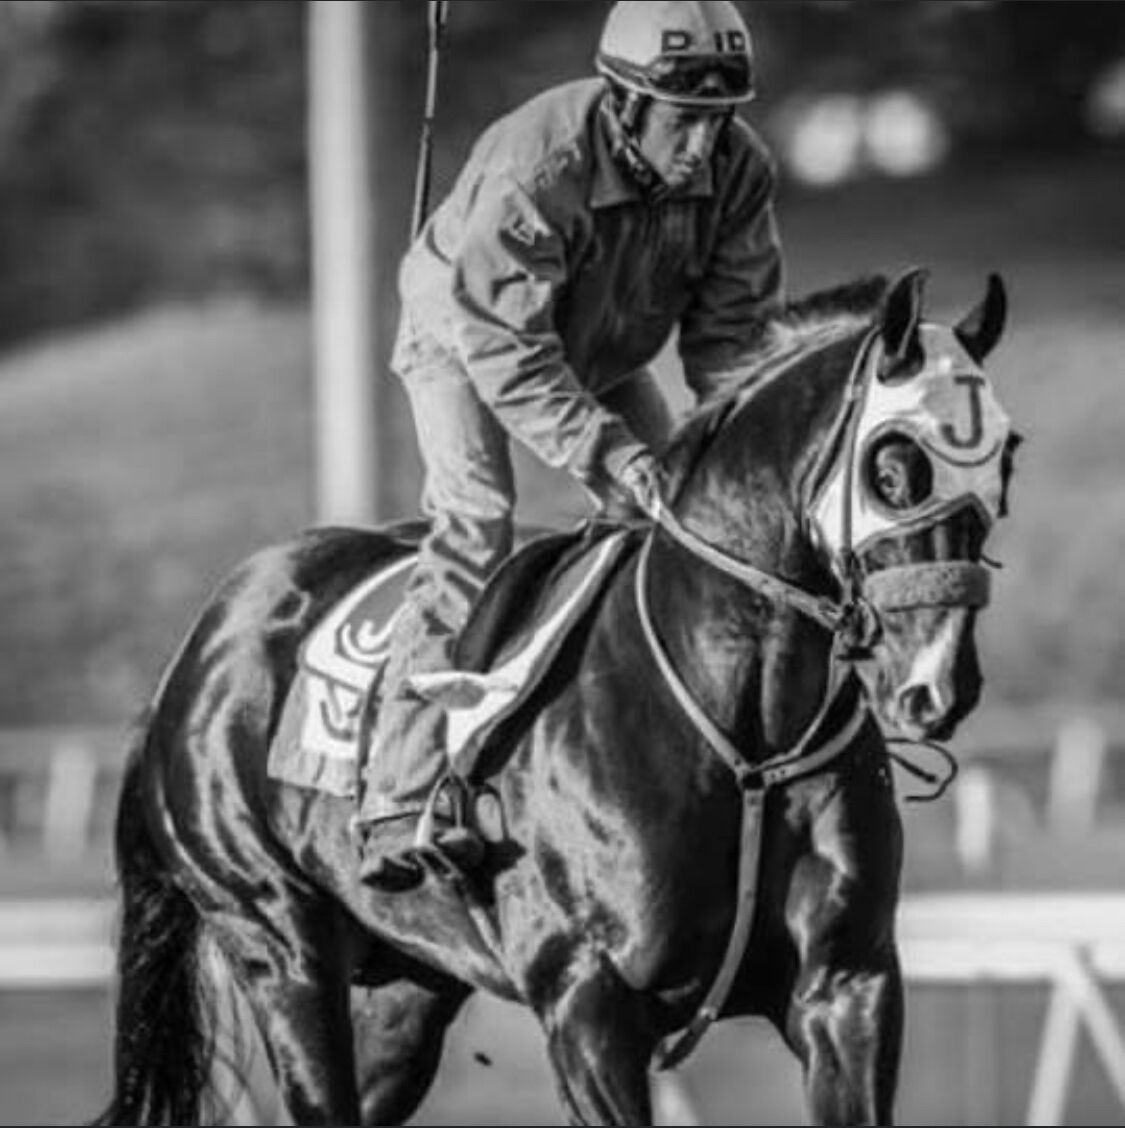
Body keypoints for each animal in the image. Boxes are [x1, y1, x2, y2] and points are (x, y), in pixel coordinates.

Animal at [93, 268, 1017, 1127]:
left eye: (1005, 457)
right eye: (892, 466)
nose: (938, 680)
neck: (749, 741)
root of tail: (197, 654)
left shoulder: (846, 985)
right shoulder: (588, 1001)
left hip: (407, 986)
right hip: (278, 943)